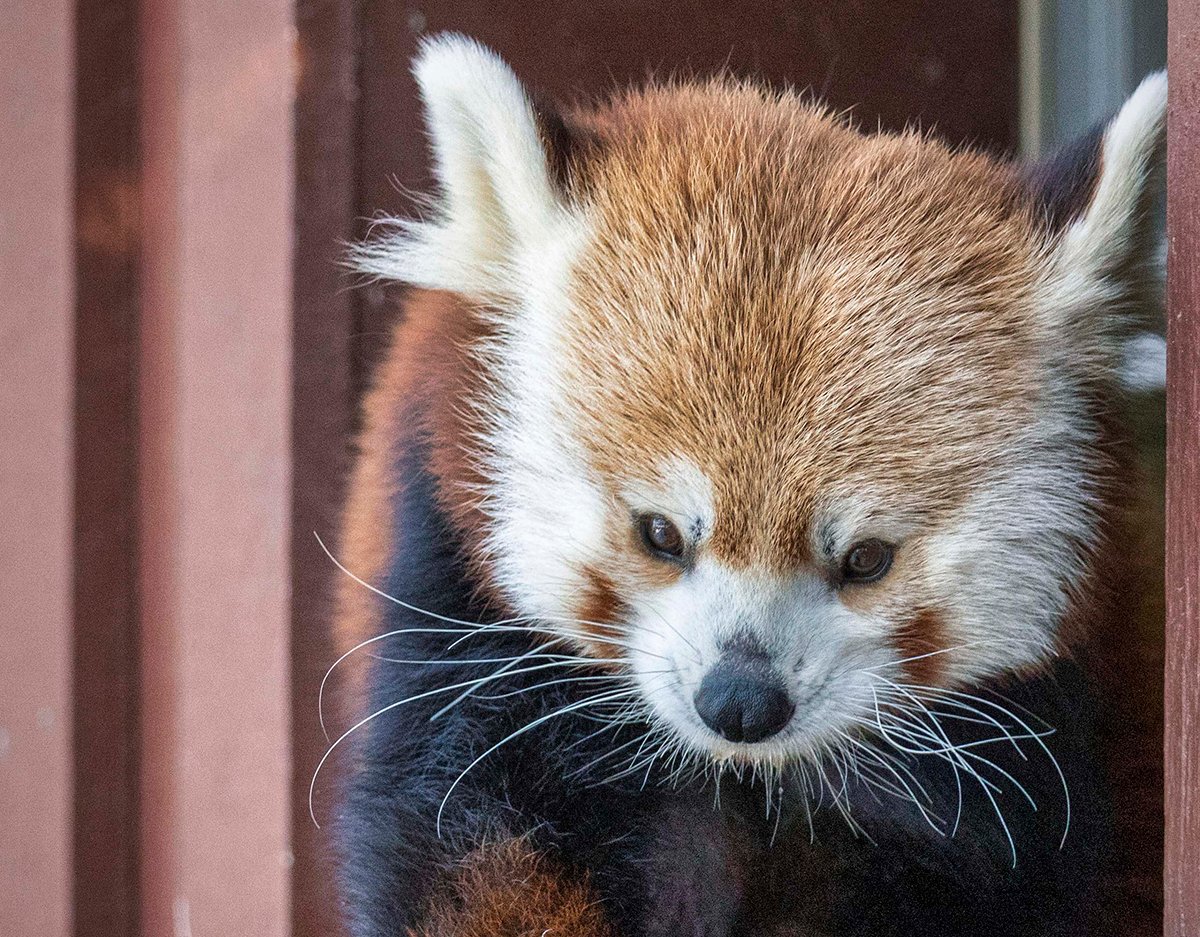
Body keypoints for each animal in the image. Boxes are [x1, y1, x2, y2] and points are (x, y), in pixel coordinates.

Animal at [326, 32, 1161, 935]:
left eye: (866, 559)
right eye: (660, 533)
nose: (740, 702)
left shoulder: (1022, 763)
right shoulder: (460, 636)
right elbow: (476, 854)